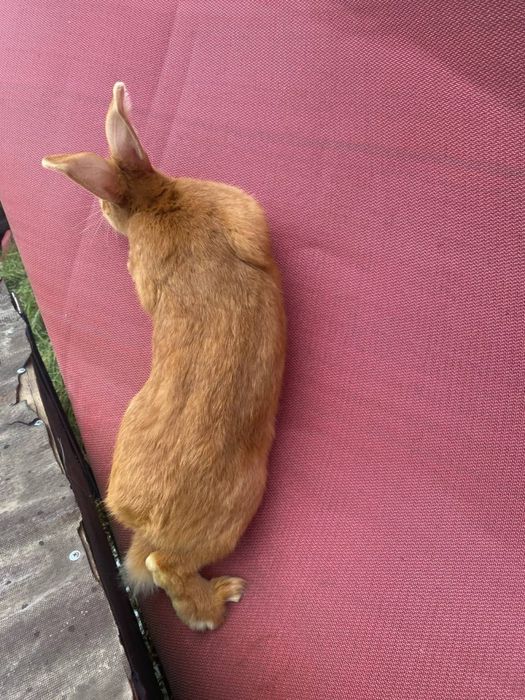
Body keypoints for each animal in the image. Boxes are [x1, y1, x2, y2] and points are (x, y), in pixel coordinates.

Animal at [42, 82, 286, 631]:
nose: (104, 214)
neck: (157, 200)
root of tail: (139, 518)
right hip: (232, 511)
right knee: (164, 565)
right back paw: (220, 600)